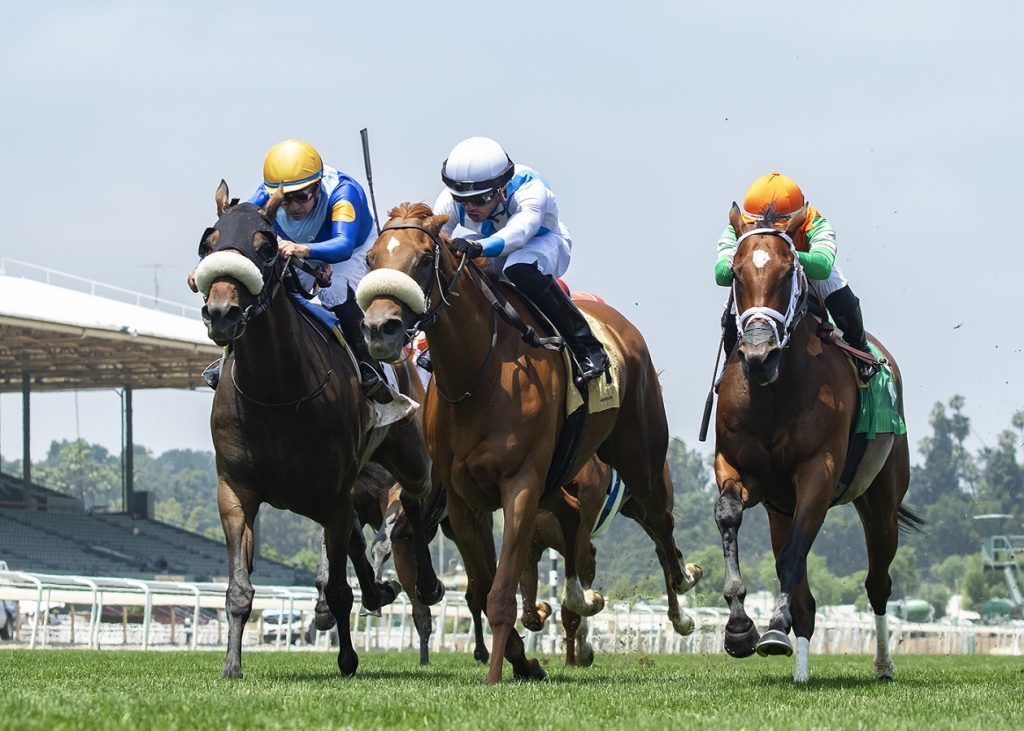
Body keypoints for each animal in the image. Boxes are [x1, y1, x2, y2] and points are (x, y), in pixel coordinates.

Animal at [195, 183, 443, 679]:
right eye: (208, 245)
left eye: (266, 246)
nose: (222, 313)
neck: (275, 392)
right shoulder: (236, 490)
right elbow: (239, 588)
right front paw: (231, 665)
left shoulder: (333, 495)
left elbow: (339, 588)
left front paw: (347, 658)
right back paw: (378, 590)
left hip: (405, 455)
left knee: (413, 498)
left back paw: (423, 583)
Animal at [357, 202, 701, 683]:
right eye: (371, 259)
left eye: (424, 259)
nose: (378, 329)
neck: (479, 375)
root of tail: (621, 327)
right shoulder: (464, 501)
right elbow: (484, 588)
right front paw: (524, 659)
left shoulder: (519, 484)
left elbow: (500, 593)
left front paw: (498, 672)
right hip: (559, 479)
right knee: (577, 522)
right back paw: (580, 596)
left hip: (640, 458)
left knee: (660, 522)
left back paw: (682, 601)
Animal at [713, 202, 917, 683]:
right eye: (735, 272)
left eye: (789, 272)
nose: (759, 355)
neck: (774, 392)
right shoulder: (736, 466)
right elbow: (729, 516)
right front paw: (740, 628)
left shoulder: (817, 473)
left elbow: (791, 558)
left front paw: (770, 629)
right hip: (779, 511)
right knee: (806, 600)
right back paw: (800, 667)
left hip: (881, 500)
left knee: (877, 583)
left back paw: (882, 664)